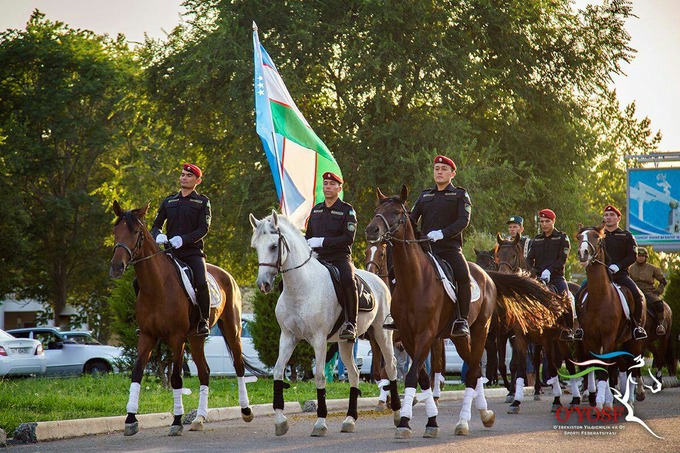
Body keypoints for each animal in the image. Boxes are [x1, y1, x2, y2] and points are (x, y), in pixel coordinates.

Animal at [111, 200, 255, 434]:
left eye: (135, 232)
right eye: (115, 231)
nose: (116, 267)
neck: (157, 286)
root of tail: (228, 275)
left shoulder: (176, 338)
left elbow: (176, 377)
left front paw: (176, 421)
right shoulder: (147, 336)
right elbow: (137, 372)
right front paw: (131, 419)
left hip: (232, 330)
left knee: (239, 367)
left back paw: (246, 410)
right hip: (196, 338)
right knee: (205, 372)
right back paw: (199, 418)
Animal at [248, 210, 398, 436]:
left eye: (274, 246)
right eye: (255, 246)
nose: (263, 284)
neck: (301, 287)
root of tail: (379, 281)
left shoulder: (319, 340)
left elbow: (319, 377)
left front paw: (320, 423)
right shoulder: (288, 337)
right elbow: (278, 371)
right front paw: (280, 421)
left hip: (382, 334)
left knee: (391, 367)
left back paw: (399, 416)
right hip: (346, 342)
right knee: (354, 374)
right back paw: (349, 420)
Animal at [366, 185, 564, 436]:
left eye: (396, 212)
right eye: (377, 210)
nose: (371, 229)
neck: (415, 279)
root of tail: (487, 276)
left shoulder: (426, 335)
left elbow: (411, 376)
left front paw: (404, 421)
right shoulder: (408, 337)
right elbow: (420, 377)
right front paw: (429, 420)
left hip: (482, 332)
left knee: (474, 373)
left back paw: (464, 421)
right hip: (459, 338)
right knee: (475, 369)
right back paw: (485, 414)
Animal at [576, 226, 644, 406]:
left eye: (596, 237)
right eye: (579, 237)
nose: (583, 253)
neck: (600, 299)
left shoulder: (607, 337)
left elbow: (605, 369)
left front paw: (601, 401)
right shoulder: (591, 339)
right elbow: (597, 366)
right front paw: (598, 399)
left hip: (633, 340)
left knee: (633, 364)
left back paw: (635, 395)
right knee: (620, 364)